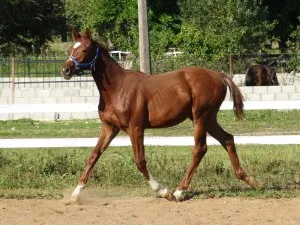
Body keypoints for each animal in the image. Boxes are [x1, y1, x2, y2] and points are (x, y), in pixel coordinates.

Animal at [61, 29, 255, 202]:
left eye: (85, 49)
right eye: (71, 49)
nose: (65, 70)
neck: (117, 88)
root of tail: (218, 75)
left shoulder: (135, 128)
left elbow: (140, 161)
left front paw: (163, 191)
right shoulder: (110, 127)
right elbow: (93, 155)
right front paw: (75, 194)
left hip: (201, 117)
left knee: (200, 149)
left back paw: (179, 191)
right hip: (208, 119)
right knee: (227, 139)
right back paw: (250, 180)